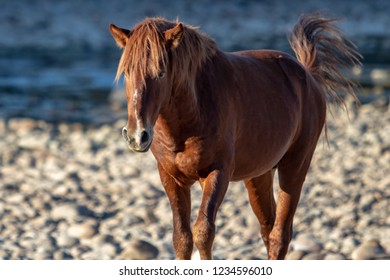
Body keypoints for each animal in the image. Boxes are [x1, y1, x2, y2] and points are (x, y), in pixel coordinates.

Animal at [109, 12, 360, 258]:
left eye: (160, 73)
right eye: (127, 72)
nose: (136, 136)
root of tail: (308, 75)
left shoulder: (217, 173)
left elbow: (203, 232)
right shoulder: (171, 178)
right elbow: (181, 238)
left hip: (295, 167)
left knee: (280, 235)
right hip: (259, 175)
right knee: (268, 229)